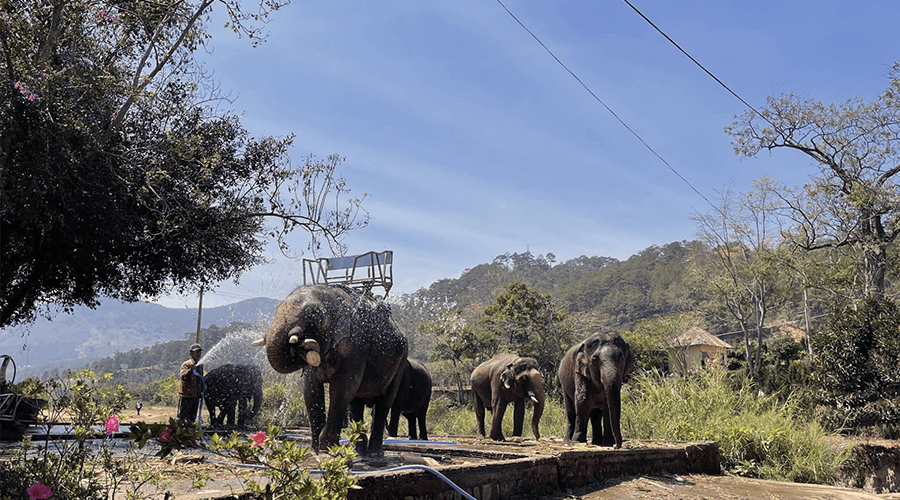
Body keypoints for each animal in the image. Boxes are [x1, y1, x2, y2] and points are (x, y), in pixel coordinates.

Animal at [252, 284, 408, 456]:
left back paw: (374, 454)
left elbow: (342, 390)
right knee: (356, 403)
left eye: (318, 318)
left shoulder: (357, 347)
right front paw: (314, 452)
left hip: (401, 361)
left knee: (384, 402)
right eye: (276, 309)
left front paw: (327, 450)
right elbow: (311, 391)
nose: (301, 343)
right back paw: (359, 451)